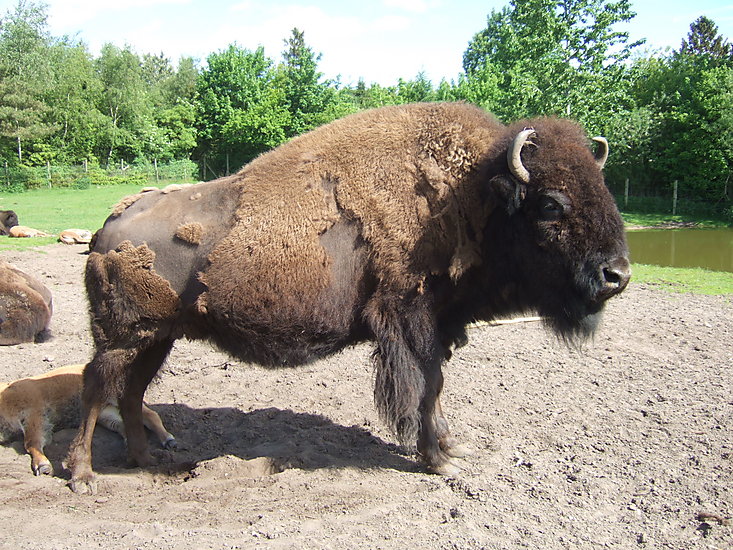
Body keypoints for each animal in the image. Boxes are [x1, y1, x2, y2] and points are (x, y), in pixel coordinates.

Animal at [66, 102, 630, 493]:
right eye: (551, 203)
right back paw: (83, 476)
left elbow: (437, 387)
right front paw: (438, 459)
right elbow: (424, 388)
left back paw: (145, 462)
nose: (616, 275)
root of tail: (107, 227)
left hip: (156, 338)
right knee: (96, 388)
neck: (468, 197)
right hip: (121, 337)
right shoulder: (411, 324)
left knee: (131, 392)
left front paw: (451, 448)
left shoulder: (439, 327)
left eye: (603, 190)